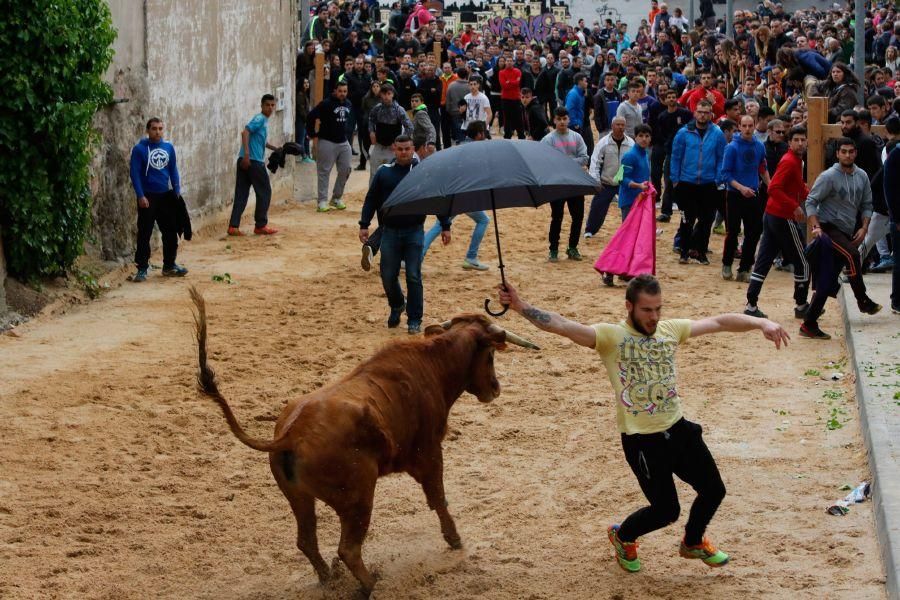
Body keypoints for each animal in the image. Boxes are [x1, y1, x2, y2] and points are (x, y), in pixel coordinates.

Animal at [188, 288, 536, 592]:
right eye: (490, 356)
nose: (495, 388)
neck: (430, 365)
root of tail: (291, 434)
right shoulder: (429, 452)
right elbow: (438, 498)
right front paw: (454, 539)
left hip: (300, 498)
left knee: (307, 540)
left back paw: (330, 578)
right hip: (357, 499)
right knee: (348, 549)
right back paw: (372, 585)